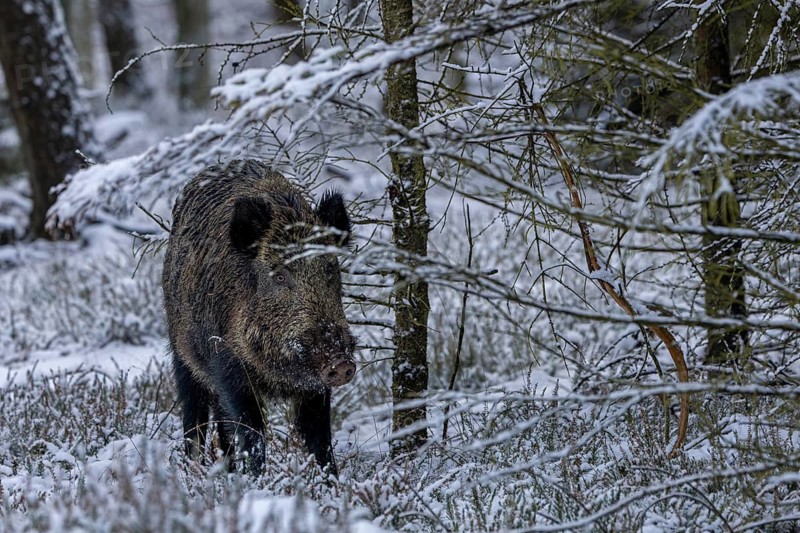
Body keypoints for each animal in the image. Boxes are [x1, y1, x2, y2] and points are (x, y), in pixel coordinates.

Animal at [162, 159, 356, 476]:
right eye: (279, 276)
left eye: (330, 269)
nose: (340, 363)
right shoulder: (228, 366)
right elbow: (252, 434)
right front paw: (259, 482)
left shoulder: (315, 387)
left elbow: (319, 438)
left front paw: (333, 484)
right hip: (181, 354)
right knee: (195, 420)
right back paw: (194, 473)